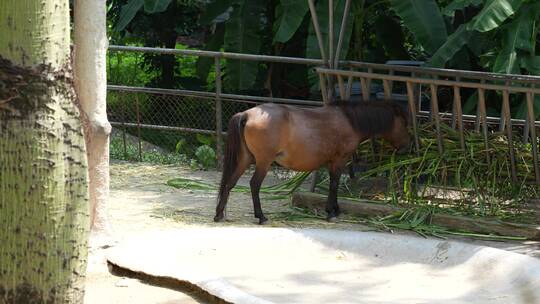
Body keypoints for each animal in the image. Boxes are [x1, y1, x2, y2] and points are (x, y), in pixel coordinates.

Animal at [213, 100, 412, 223]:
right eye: (403, 123)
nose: (406, 147)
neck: (349, 120)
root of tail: (246, 114)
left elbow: (333, 184)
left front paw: (333, 210)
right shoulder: (339, 160)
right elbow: (334, 185)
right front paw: (332, 212)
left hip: (245, 159)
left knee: (229, 183)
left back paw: (219, 215)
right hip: (263, 161)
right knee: (254, 185)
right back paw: (261, 217)